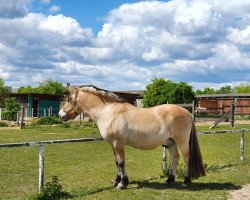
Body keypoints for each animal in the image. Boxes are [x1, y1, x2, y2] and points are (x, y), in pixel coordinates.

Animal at [58, 85, 205, 189]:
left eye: (69, 99)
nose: (60, 115)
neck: (108, 111)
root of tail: (186, 111)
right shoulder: (113, 144)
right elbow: (116, 162)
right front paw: (116, 181)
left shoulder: (119, 143)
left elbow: (121, 162)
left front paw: (122, 184)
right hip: (170, 142)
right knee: (175, 158)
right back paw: (169, 180)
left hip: (182, 142)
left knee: (186, 158)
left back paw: (186, 181)